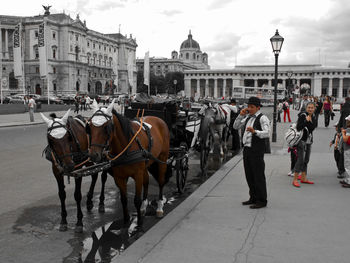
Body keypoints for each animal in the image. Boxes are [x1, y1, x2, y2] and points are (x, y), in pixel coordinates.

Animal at [87, 100, 170, 228]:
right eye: (90, 127)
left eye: (106, 127)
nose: (93, 155)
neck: (126, 148)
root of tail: (158, 118)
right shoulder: (119, 177)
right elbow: (124, 199)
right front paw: (126, 220)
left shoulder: (137, 174)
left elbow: (136, 200)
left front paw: (139, 223)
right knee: (147, 181)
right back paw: (144, 205)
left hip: (162, 158)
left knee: (161, 181)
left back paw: (159, 207)